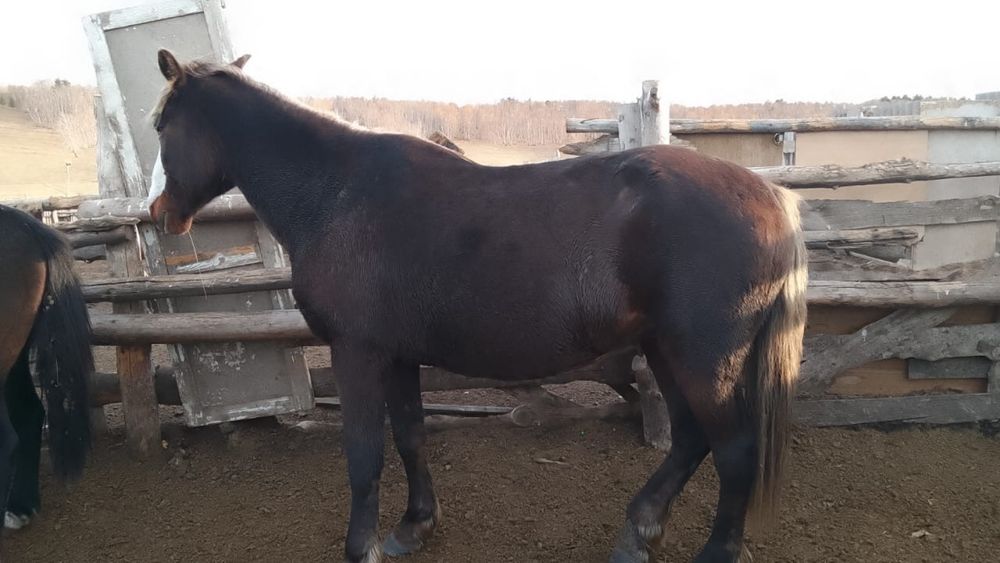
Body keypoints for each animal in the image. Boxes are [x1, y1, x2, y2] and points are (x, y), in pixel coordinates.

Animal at [148, 49, 806, 563]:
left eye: (160, 125)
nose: (160, 215)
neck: (336, 193)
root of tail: (770, 196)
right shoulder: (397, 356)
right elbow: (411, 435)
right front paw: (414, 527)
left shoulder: (356, 353)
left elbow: (364, 455)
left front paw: (361, 547)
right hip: (666, 350)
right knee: (693, 438)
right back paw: (639, 531)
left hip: (703, 358)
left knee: (734, 449)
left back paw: (715, 551)